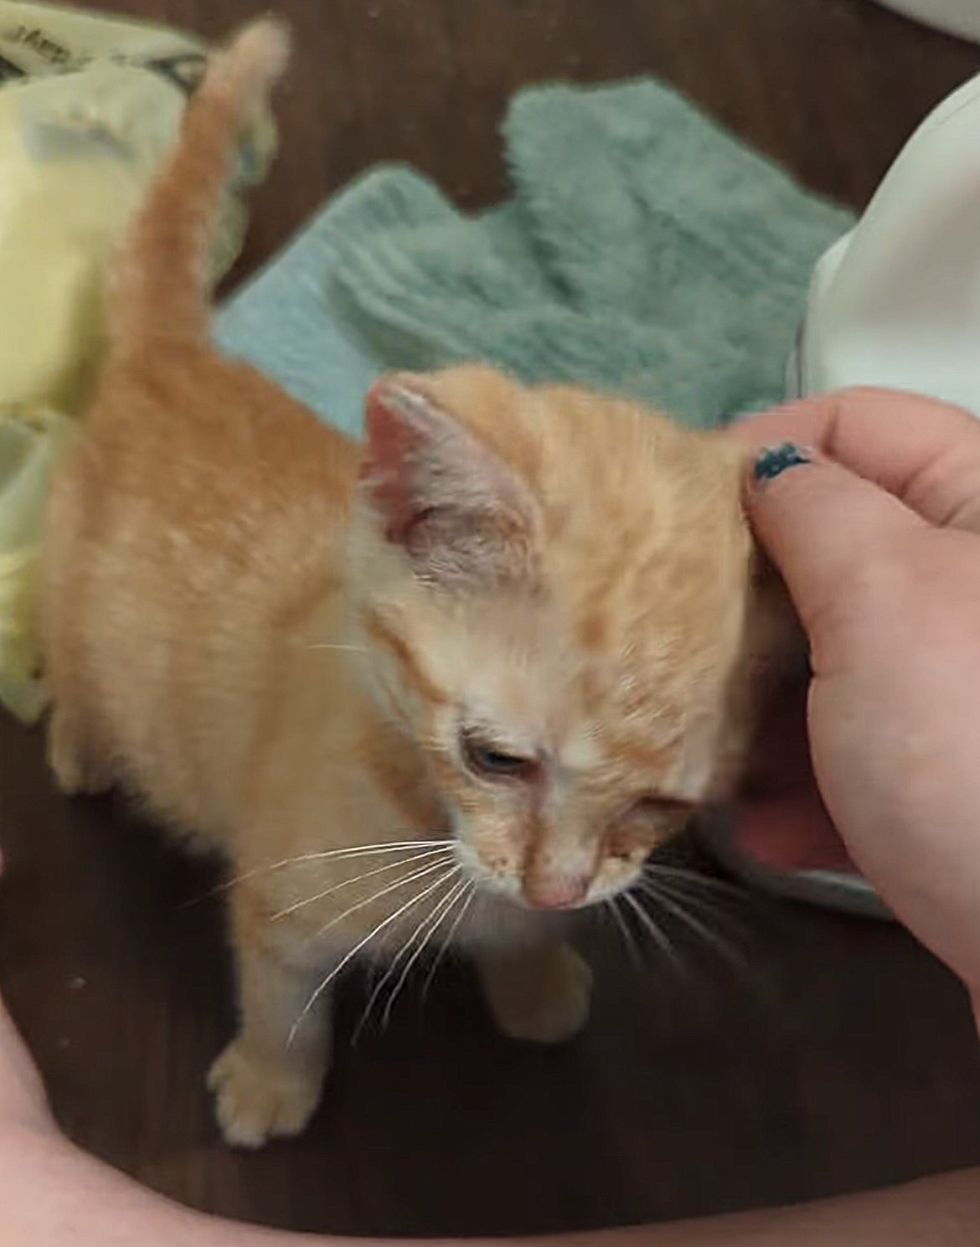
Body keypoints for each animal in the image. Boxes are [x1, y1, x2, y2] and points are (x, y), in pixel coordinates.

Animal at [38, 19, 787, 1147]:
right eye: (496, 758)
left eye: (667, 799)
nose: (560, 887)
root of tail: (177, 356)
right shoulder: (280, 897)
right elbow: (283, 999)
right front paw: (271, 1081)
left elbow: (520, 940)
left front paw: (534, 979)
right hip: (71, 592)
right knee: (77, 663)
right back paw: (82, 744)